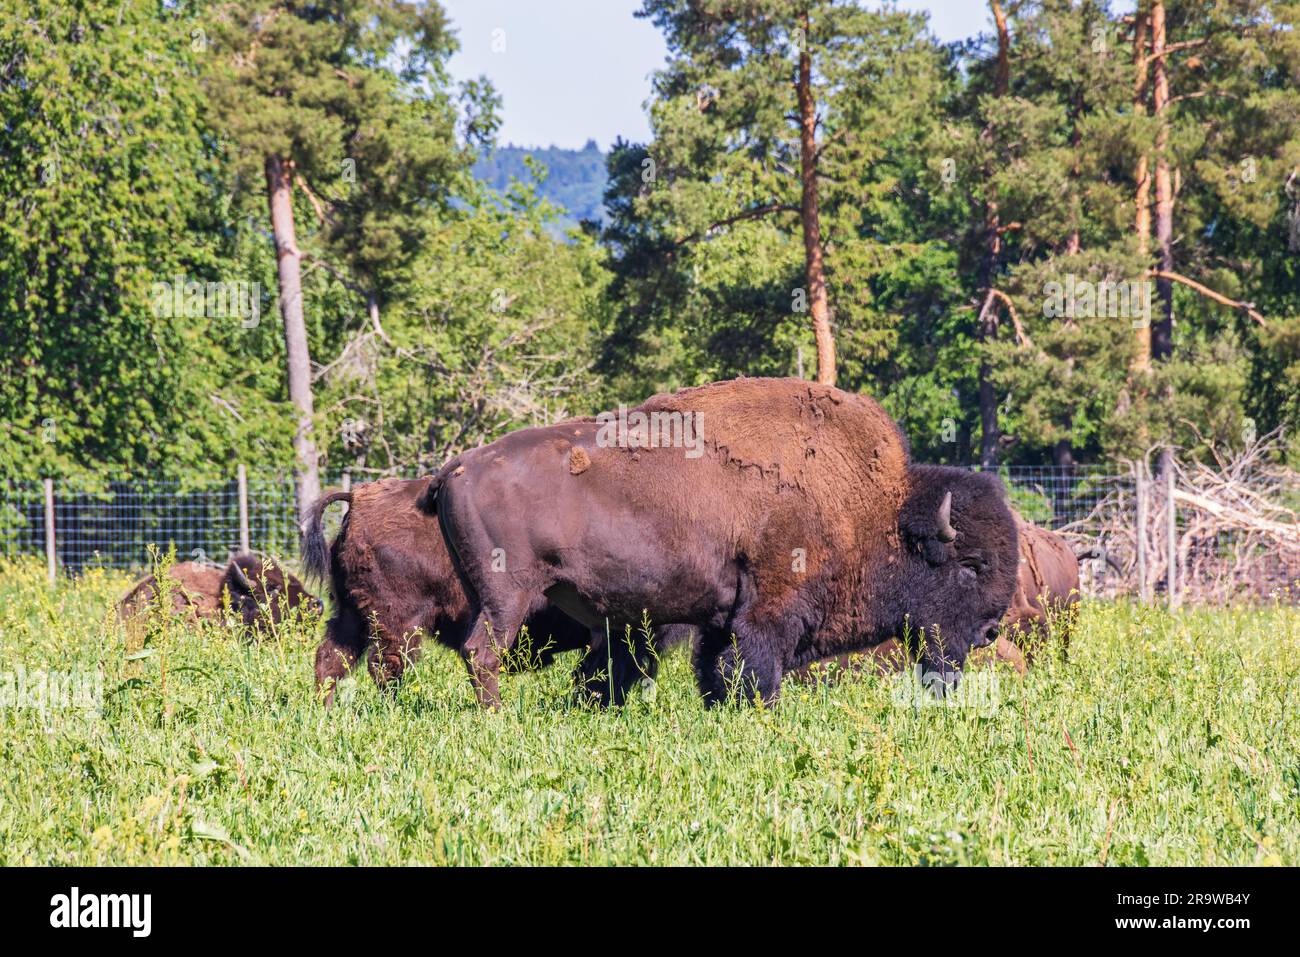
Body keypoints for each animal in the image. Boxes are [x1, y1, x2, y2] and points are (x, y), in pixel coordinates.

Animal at [301, 477, 688, 706]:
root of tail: (358, 500)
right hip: (399, 621)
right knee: (386, 666)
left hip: (352, 614)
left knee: (332, 657)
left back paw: (327, 709)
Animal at [422, 377, 1020, 708]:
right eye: (970, 565)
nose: (990, 633)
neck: (875, 508)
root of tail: (455, 468)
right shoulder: (769, 608)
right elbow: (753, 666)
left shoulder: (720, 617)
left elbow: (713, 669)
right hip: (509, 597)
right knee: (482, 653)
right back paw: (496, 716)